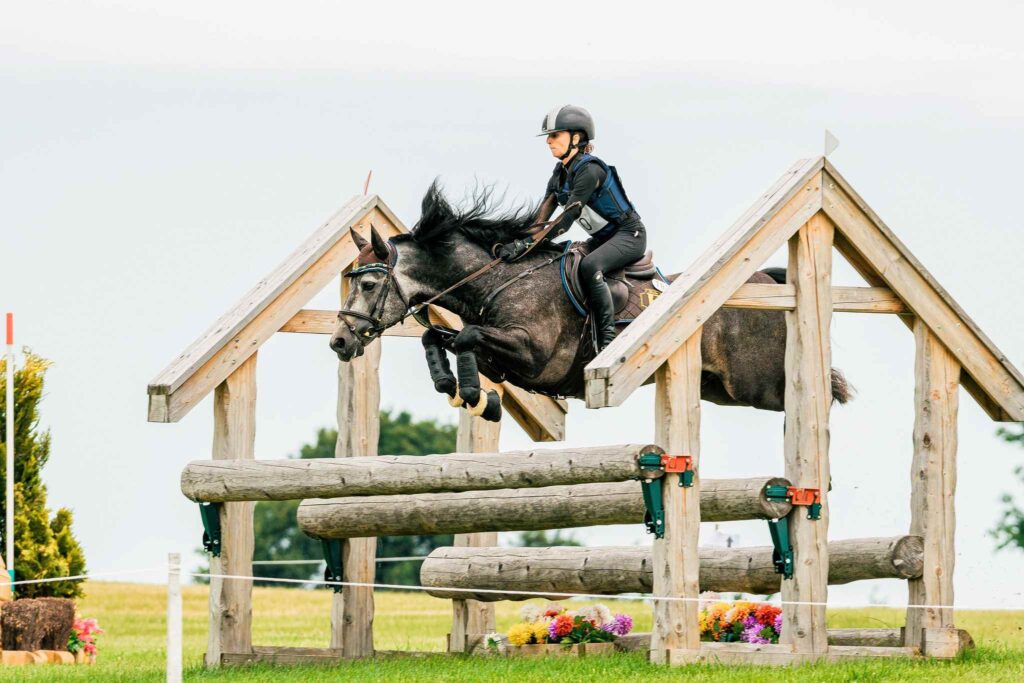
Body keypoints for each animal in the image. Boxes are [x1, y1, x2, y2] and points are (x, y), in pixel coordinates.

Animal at [327, 184, 847, 423]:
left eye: (368, 285)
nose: (339, 342)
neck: (497, 279)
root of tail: (762, 280)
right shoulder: (504, 358)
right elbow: (440, 336)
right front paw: (460, 389)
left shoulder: (534, 356)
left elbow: (468, 337)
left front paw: (475, 396)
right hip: (719, 388)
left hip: (755, 384)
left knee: (812, 398)